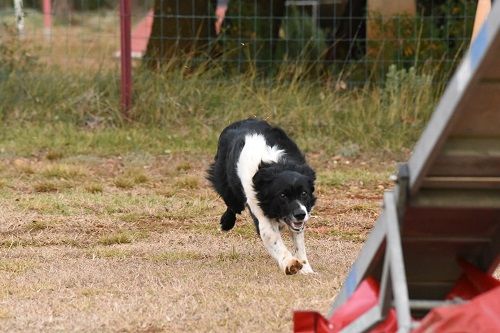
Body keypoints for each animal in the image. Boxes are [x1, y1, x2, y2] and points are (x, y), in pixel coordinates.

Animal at [207, 118, 316, 274]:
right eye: (282, 195)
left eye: (304, 193)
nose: (300, 214)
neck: (275, 165)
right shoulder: (258, 205)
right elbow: (271, 236)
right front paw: (290, 263)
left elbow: (298, 240)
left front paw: (306, 269)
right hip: (226, 184)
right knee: (232, 204)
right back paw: (226, 223)